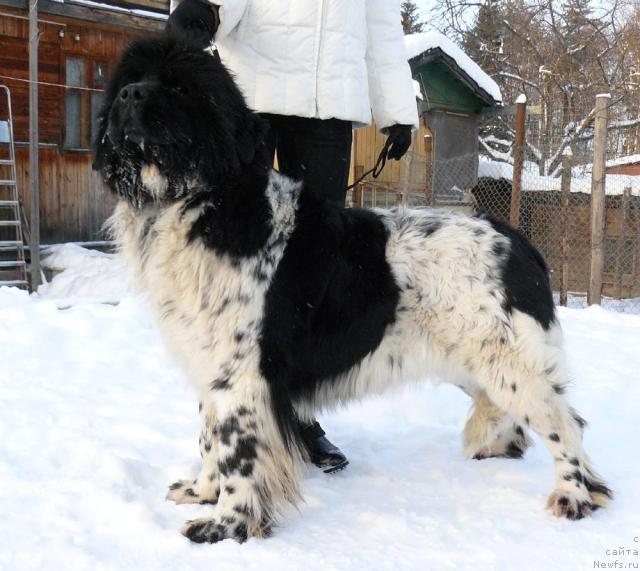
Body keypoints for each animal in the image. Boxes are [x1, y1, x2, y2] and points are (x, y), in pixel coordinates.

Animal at [94, 36, 608, 544]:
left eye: (179, 88)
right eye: (128, 79)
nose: (130, 96)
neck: (204, 203)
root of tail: (518, 241)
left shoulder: (243, 373)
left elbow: (237, 451)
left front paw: (227, 524)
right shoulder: (210, 362)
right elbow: (210, 437)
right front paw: (203, 491)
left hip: (509, 360)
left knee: (568, 423)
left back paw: (575, 495)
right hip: (475, 357)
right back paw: (504, 449)